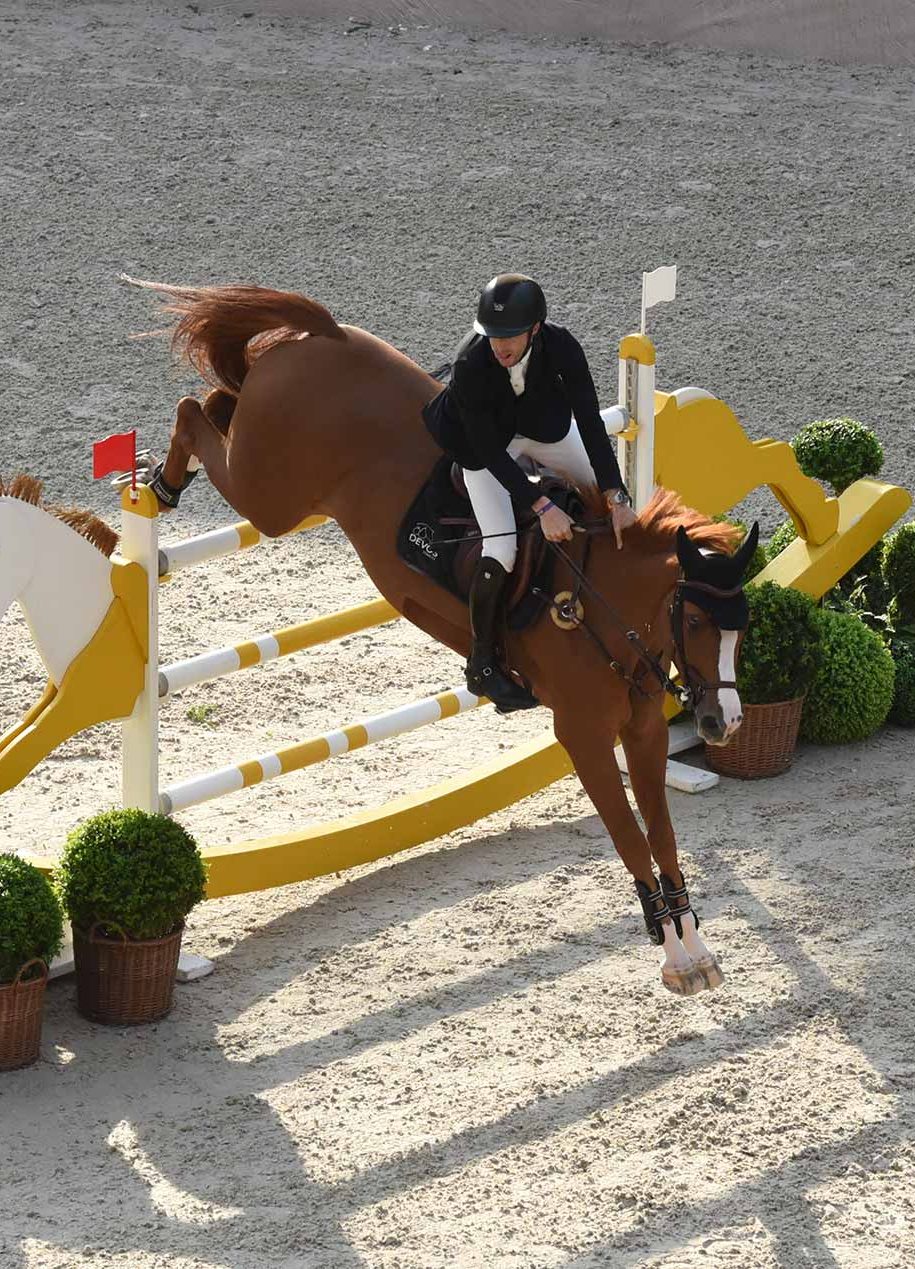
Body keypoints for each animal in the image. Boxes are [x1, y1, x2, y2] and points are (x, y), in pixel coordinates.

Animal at [122, 277, 759, 995]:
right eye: (698, 621)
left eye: (742, 626)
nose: (723, 722)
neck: (599, 602)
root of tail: (328, 335)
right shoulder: (583, 734)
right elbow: (628, 834)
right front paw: (673, 955)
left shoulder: (644, 728)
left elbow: (662, 833)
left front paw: (693, 946)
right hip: (271, 496)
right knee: (195, 414)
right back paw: (159, 485)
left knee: (219, 398)